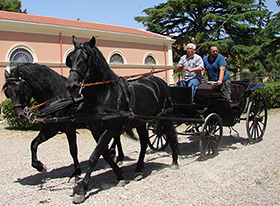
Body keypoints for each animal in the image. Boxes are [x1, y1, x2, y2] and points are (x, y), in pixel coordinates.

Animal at [65, 35, 178, 204]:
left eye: (86, 59)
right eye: (70, 59)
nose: (71, 85)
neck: (103, 95)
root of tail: (159, 81)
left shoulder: (109, 130)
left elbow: (93, 157)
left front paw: (82, 190)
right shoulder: (96, 132)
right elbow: (104, 155)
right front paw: (120, 176)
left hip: (166, 117)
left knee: (170, 135)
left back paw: (175, 162)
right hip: (140, 122)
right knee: (144, 143)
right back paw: (139, 169)